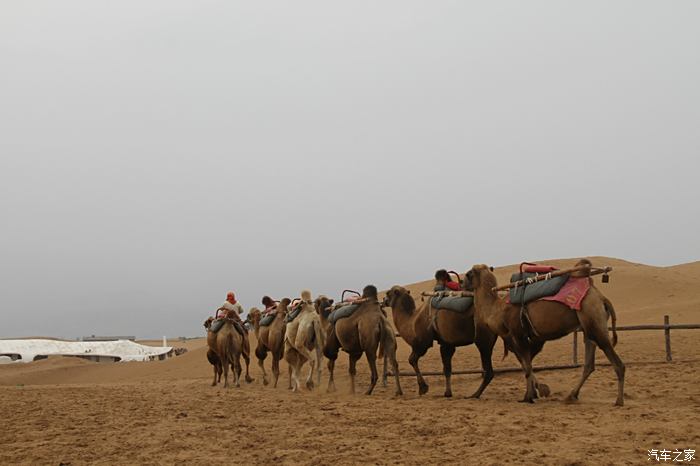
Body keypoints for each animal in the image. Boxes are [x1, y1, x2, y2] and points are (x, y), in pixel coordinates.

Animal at [464, 260, 624, 406]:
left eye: (468, 274)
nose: (462, 284)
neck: (497, 310)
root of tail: (602, 298)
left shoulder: (518, 333)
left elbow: (527, 366)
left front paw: (529, 397)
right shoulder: (529, 337)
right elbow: (526, 363)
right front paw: (536, 393)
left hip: (593, 319)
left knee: (616, 362)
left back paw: (619, 400)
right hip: (588, 328)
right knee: (589, 364)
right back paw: (571, 396)